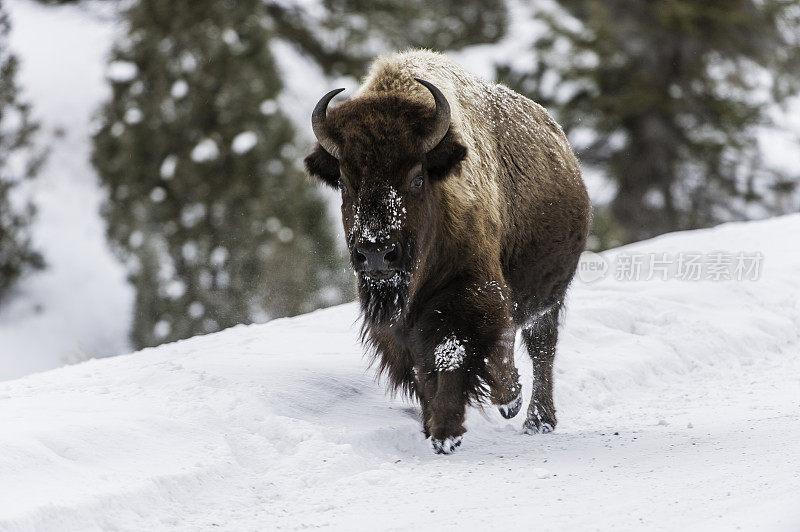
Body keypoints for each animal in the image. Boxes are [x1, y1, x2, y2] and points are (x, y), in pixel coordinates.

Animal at [304, 50, 592, 456]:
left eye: (416, 177)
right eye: (344, 182)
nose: (377, 254)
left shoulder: (469, 292)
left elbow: (452, 352)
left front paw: (451, 430)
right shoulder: (400, 326)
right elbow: (422, 368)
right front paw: (434, 429)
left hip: (548, 298)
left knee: (540, 347)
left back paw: (535, 418)